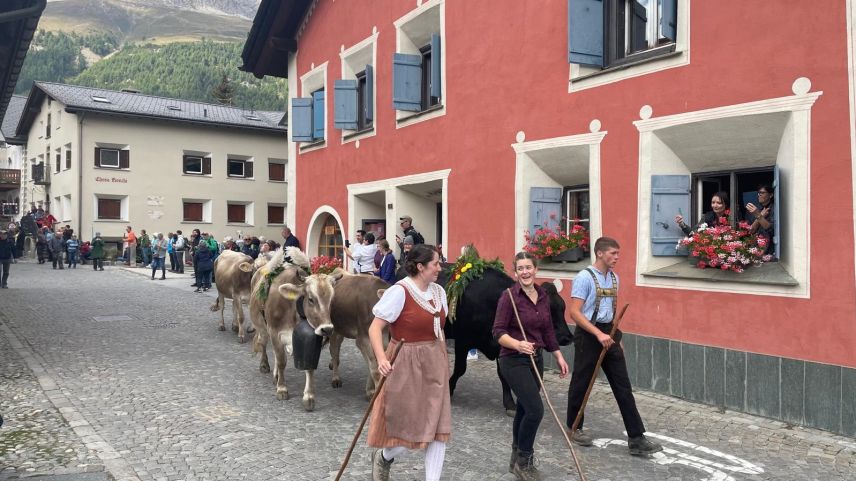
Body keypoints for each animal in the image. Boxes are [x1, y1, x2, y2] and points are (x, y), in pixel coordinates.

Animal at [247, 248, 342, 408]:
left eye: (331, 299)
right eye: (311, 299)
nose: (327, 329)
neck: (293, 308)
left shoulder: (311, 338)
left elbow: (308, 366)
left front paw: (309, 396)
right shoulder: (275, 332)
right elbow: (281, 361)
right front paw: (282, 389)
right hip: (262, 327)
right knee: (262, 343)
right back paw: (265, 365)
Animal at [328, 272, 388, 400]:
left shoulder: (384, 338)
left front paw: (370, 391)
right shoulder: (362, 338)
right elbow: (374, 367)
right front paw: (374, 392)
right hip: (334, 329)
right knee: (334, 350)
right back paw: (335, 378)